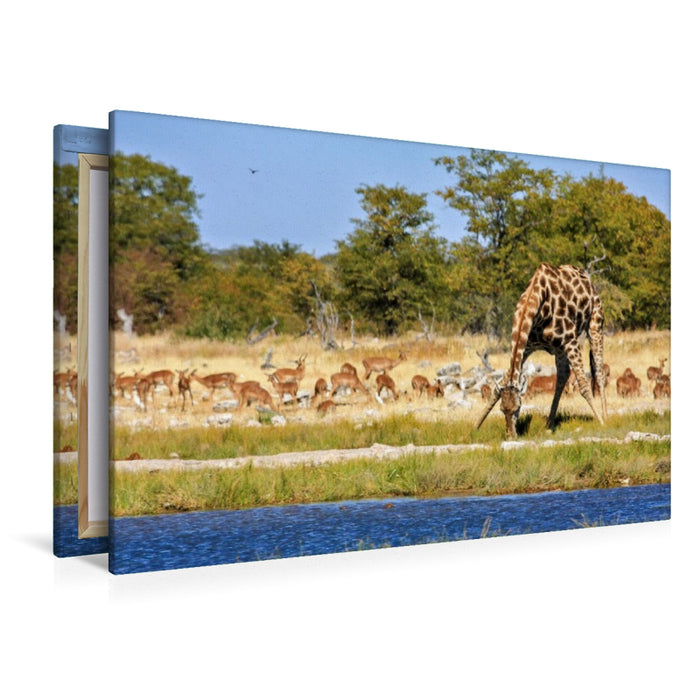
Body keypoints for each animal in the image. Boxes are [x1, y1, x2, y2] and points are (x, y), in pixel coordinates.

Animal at [476, 263, 608, 439]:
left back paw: (605, 416)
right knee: (563, 375)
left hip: (595, 323)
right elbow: (500, 385)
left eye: (518, 408)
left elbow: (584, 384)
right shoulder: (527, 346)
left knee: (599, 371)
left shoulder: (570, 340)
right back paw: (549, 424)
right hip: (559, 348)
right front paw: (475, 425)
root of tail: (588, 280)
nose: (511, 436)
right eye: (502, 409)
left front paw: (601, 422)